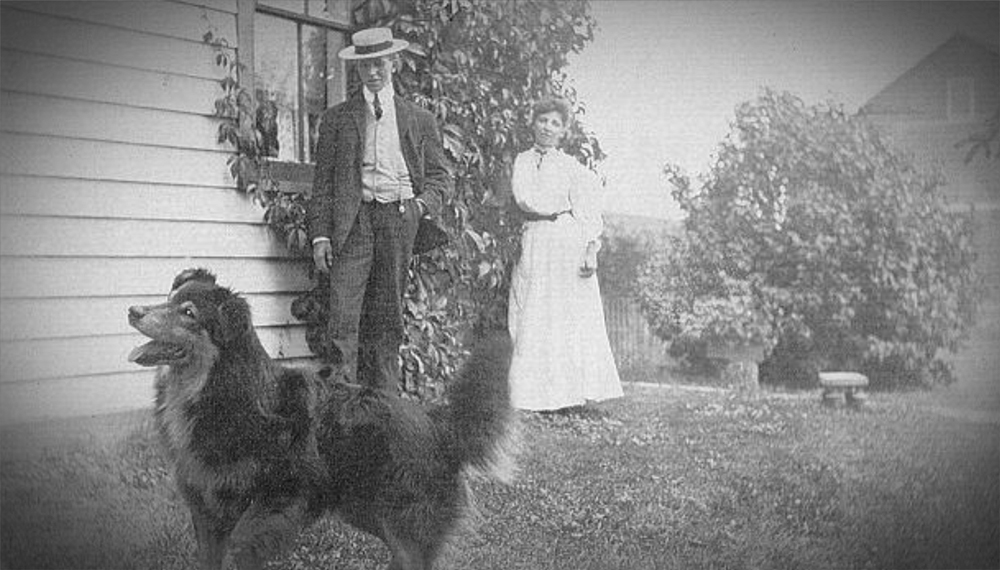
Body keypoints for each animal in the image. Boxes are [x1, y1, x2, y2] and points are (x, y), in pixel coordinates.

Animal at [127, 270, 516, 568]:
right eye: (168, 298)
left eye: (188, 312)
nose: (132, 310)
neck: (217, 387)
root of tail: (440, 424)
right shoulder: (205, 504)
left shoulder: (283, 494)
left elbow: (240, 544)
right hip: (370, 510)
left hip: (404, 516)